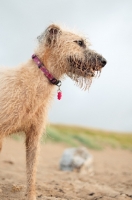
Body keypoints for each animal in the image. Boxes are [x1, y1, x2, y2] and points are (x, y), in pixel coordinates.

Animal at [0, 24, 106, 199]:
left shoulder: (34, 136)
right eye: (79, 42)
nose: (104, 61)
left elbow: (32, 171)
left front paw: (31, 195)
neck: (37, 78)